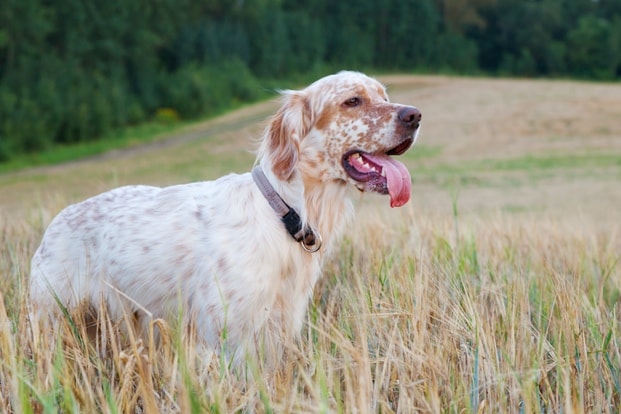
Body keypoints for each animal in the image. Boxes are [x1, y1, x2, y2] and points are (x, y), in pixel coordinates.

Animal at [27, 70, 416, 366]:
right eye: (352, 101)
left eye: (383, 94)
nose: (414, 115)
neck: (285, 211)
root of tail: (54, 224)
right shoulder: (224, 341)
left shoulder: (276, 332)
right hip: (52, 319)